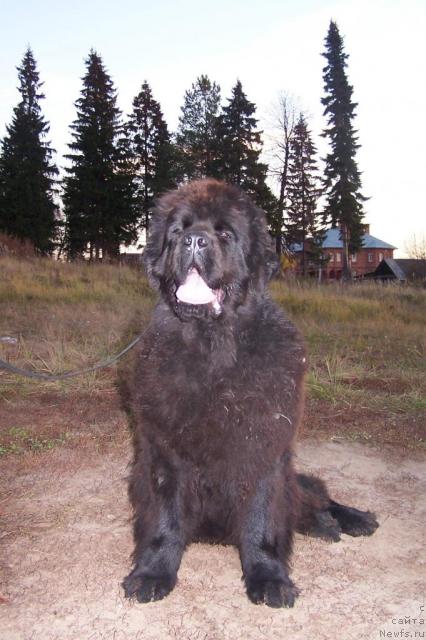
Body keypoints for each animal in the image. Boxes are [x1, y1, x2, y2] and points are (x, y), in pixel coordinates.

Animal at [121, 178, 378, 608]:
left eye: (225, 233)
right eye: (177, 230)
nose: (194, 240)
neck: (214, 349)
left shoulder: (263, 448)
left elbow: (261, 519)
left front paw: (269, 578)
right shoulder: (165, 452)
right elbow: (165, 518)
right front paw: (152, 572)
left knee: (311, 495)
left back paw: (350, 519)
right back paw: (326, 525)